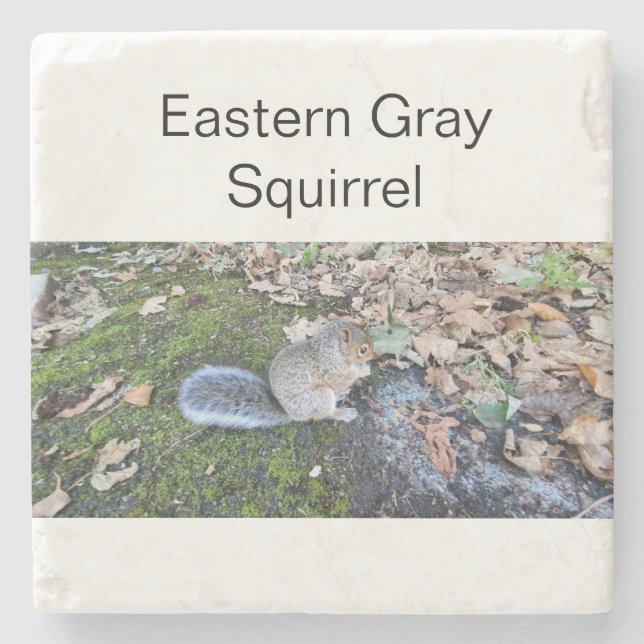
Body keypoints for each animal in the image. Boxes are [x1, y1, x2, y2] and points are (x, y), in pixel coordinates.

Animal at [177, 320, 376, 429]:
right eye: (363, 350)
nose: (375, 356)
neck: (334, 351)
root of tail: (293, 415)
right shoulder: (333, 369)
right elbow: (341, 380)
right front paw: (363, 370)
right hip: (318, 397)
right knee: (325, 413)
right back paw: (343, 413)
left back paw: (340, 396)